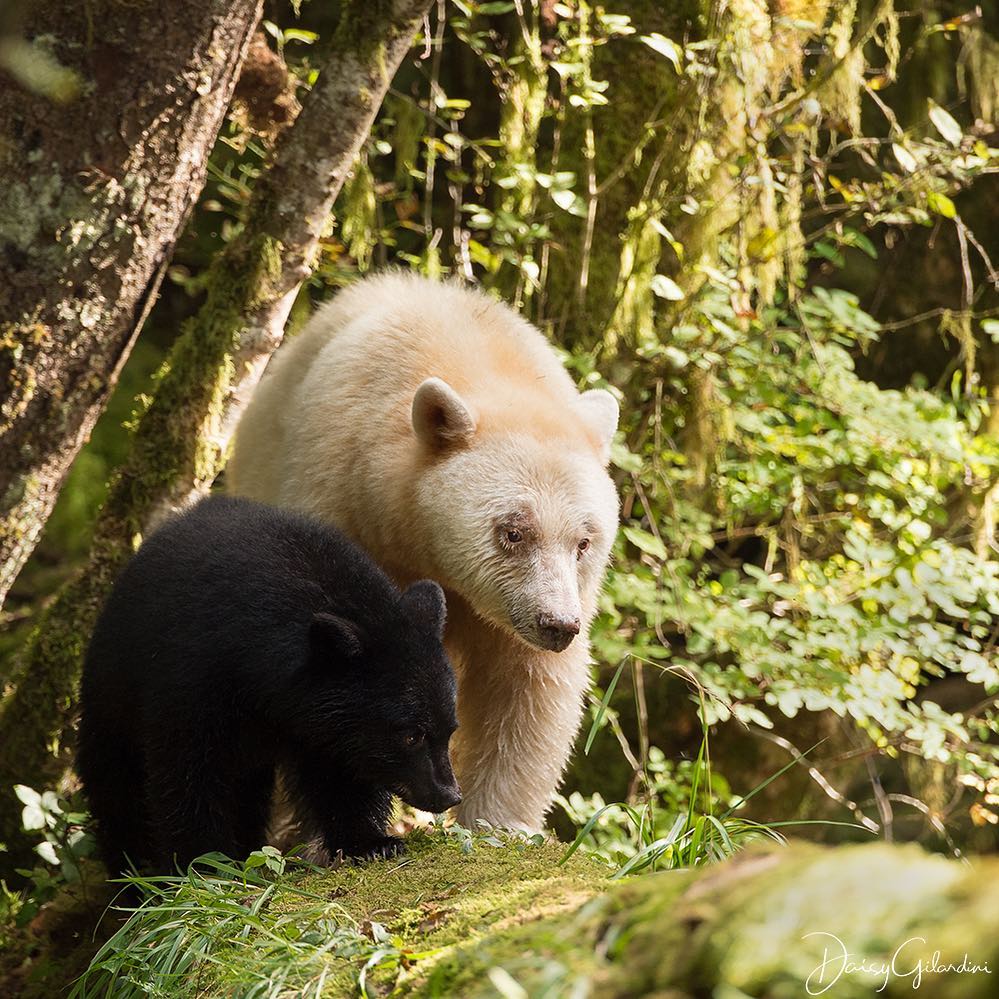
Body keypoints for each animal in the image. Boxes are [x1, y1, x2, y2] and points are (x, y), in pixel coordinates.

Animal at [78, 496, 460, 872]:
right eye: (411, 735)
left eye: (449, 730)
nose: (448, 794)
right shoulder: (193, 678)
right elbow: (187, 773)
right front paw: (202, 864)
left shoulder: (323, 725)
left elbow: (341, 776)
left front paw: (371, 843)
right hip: (111, 698)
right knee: (116, 785)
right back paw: (134, 870)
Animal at [229, 274, 616, 836]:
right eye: (513, 532)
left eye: (584, 542)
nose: (558, 625)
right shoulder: (337, 495)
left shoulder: (516, 616)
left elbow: (527, 693)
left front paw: (499, 825)